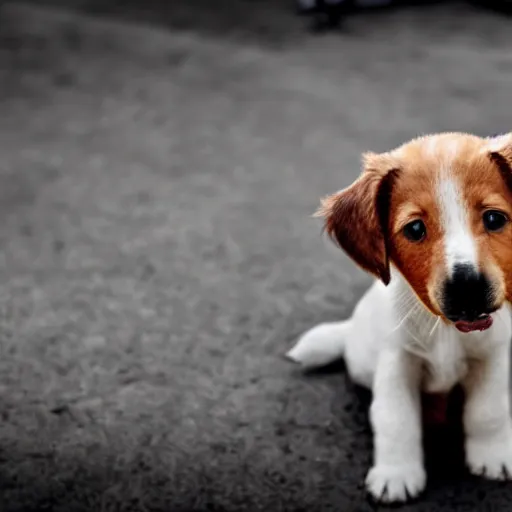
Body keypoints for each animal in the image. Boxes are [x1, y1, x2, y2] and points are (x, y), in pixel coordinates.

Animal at [288, 132, 512, 504]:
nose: (467, 289)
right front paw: (397, 474)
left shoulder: (490, 355)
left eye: (494, 219)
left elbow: (488, 410)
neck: (447, 331)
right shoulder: (397, 362)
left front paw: (493, 454)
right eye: (415, 229)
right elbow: (397, 420)